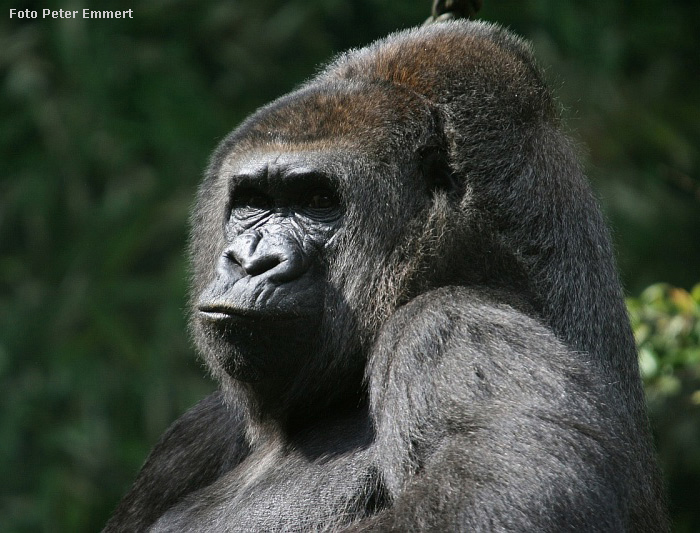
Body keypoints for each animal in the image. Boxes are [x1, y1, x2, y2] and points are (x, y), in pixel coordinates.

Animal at [104, 18, 668, 528]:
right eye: (254, 203)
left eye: (317, 202)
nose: (250, 261)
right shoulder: (192, 434)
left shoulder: (448, 324)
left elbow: (521, 494)